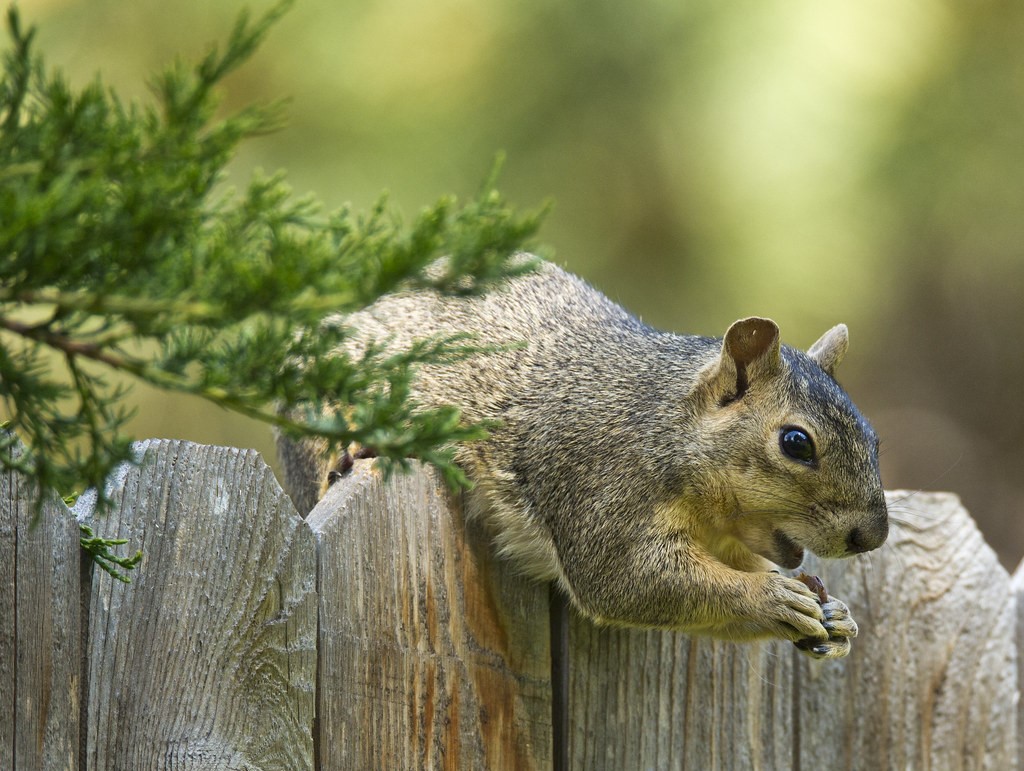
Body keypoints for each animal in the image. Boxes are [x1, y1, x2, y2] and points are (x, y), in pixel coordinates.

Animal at [280, 257, 888, 655]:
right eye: (796, 443)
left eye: (875, 440)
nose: (872, 536)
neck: (662, 426)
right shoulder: (599, 484)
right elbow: (628, 581)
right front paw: (771, 598)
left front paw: (834, 616)